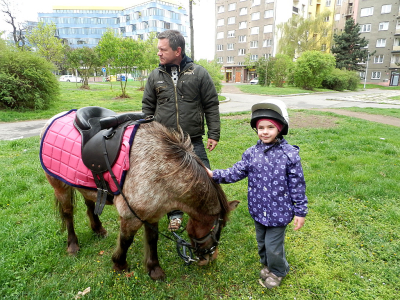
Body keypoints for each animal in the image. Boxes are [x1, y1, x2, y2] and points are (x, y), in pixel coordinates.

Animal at [39, 113, 239, 280]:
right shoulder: (131, 217)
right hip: (60, 187)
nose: (210, 258)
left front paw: (154, 270)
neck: (160, 169)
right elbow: (126, 241)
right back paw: (73, 246)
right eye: (219, 226)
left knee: (90, 205)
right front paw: (119, 264)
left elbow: (152, 240)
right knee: (68, 214)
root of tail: (52, 119)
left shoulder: (153, 214)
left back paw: (98, 229)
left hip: (85, 185)